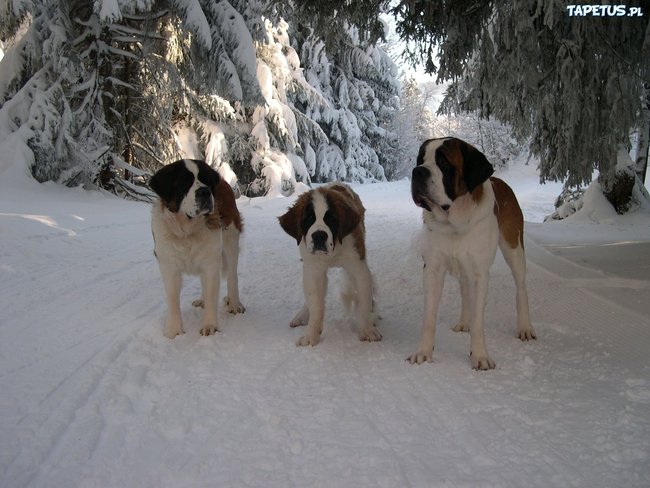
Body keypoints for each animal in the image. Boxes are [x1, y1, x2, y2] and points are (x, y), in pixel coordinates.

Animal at [150, 159, 244, 338]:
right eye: (184, 183)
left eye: (205, 179)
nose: (205, 191)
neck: (187, 232)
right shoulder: (168, 265)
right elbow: (172, 297)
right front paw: (174, 331)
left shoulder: (211, 262)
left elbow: (212, 293)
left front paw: (210, 327)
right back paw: (202, 300)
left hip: (231, 241)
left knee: (232, 276)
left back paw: (235, 304)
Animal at [278, 183, 382, 346]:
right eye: (309, 219)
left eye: (331, 219)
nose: (319, 236)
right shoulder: (313, 271)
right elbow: (316, 305)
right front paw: (311, 336)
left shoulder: (358, 268)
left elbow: (364, 301)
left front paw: (367, 330)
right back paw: (302, 315)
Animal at [409, 137, 536, 369]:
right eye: (420, 159)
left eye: (444, 162)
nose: (418, 171)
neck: (454, 222)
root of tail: (500, 181)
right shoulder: (432, 269)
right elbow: (429, 317)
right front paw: (423, 352)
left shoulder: (480, 274)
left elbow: (479, 320)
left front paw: (480, 356)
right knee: (465, 290)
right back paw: (463, 322)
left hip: (514, 248)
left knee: (521, 287)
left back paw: (524, 327)